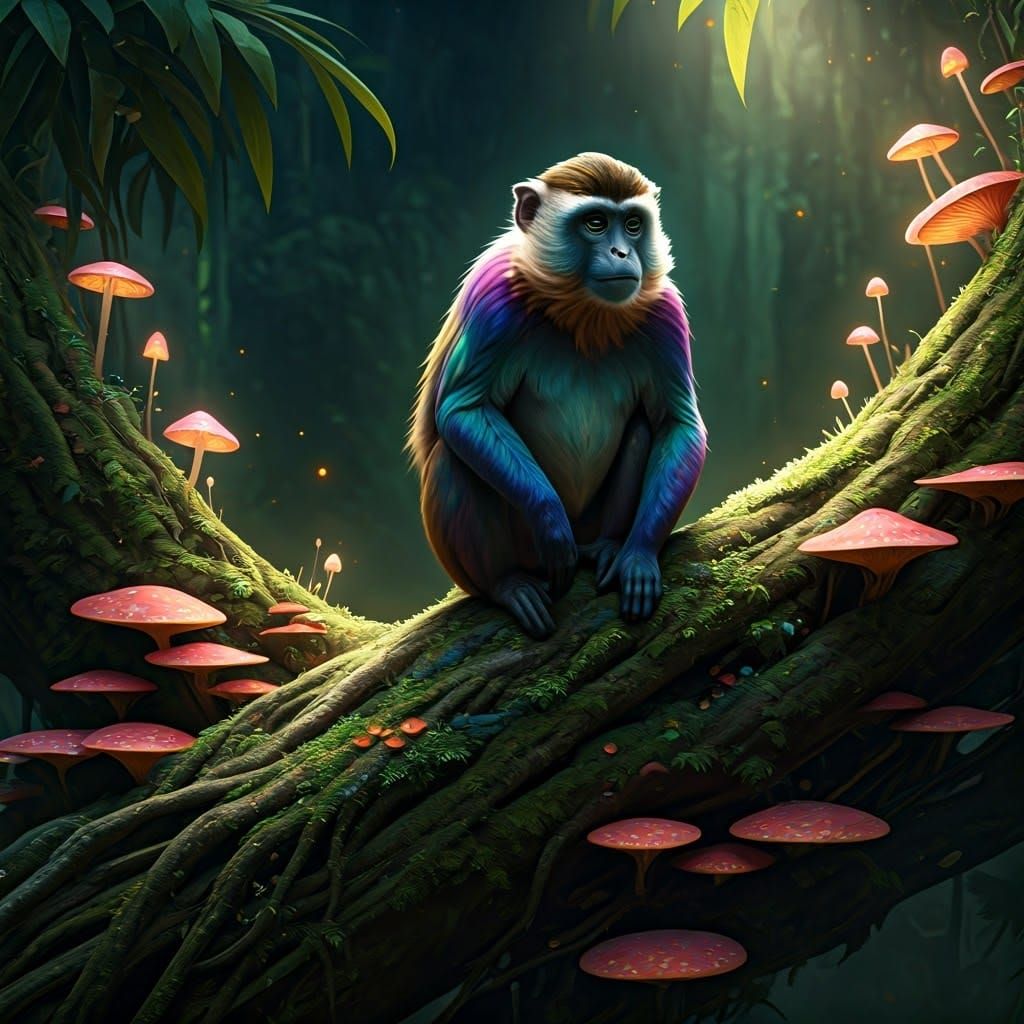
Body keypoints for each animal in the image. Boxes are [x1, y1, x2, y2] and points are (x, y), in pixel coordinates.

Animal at [408, 152, 707, 638]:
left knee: (643, 429)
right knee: (453, 458)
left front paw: (639, 556)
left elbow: (677, 425)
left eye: (633, 225)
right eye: (596, 223)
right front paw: (550, 525)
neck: (583, 313)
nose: (622, 252)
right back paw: (508, 585)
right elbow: (463, 411)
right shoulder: (494, 295)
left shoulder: (665, 312)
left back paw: (608, 547)